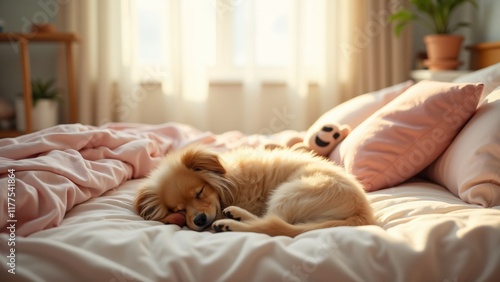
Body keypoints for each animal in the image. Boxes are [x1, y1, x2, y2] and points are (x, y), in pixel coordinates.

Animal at [135, 144, 374, 237]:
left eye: (200, 192)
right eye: (179, 209)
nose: (200, 220)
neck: (229, 184)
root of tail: (363, 214)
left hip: (290, 192)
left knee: (271, 225)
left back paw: (230, 223)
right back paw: (234, 216)